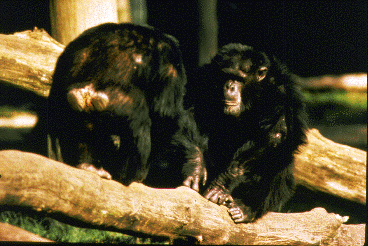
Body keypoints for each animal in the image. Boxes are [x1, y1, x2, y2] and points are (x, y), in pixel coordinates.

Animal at [33, 22, 207, 189]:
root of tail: (85, 92)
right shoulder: (170, 64)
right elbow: (166, 115)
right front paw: (195, 160)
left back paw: (87, 166)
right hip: (117, 103)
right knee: (141, 122)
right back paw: (132, 176)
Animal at [184, 43, 308, 223]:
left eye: (239, 78)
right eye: (225, 75)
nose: (229, 86)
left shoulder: (281, 94)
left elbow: (273, 136)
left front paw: (222, 185)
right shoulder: (202, 78)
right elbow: (190, 112)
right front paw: (195, 166)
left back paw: (244, 208)